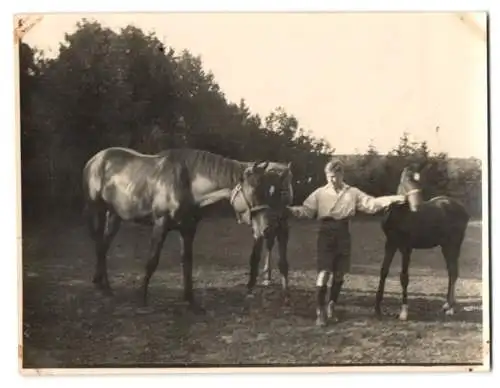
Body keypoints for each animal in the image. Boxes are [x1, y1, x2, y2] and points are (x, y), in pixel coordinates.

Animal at [376, 165, 470, 320]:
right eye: (405, 181)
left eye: (418, 180)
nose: (417, 204)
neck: (401, 216)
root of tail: (462, 208)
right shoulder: (390, 244)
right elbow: (384, 271)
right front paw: (377, 308)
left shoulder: (406, 248)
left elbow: (404, 277)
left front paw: (404, 312)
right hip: (445, 246)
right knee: (451, 271)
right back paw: (447, 304)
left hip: (454, 244)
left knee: (454, 271)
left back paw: (450, 307)